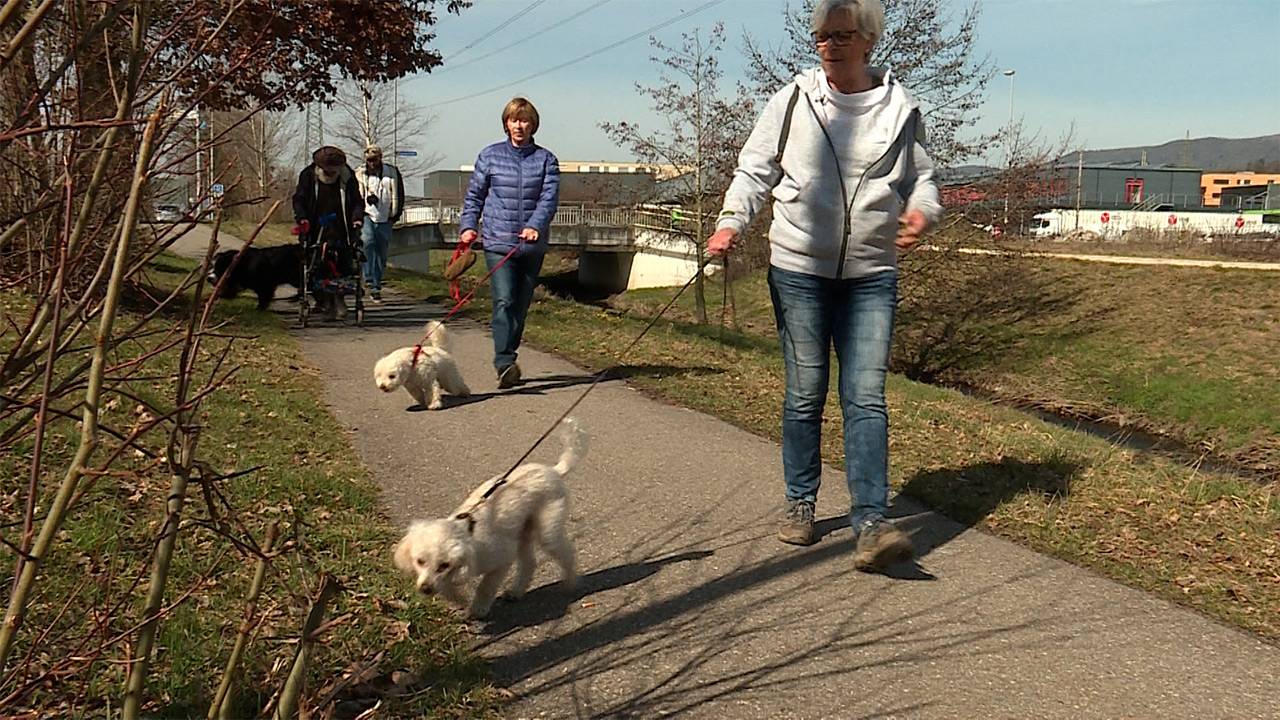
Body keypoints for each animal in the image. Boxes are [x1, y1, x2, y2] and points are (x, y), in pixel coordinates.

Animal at [391, 415, 586, 617]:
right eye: (420, 561)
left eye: (443, 565)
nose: (425, 589)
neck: (469, 535)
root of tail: (554, 471)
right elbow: (449, 589)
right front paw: (460, 600)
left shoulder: (501, 559)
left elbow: (485, 586)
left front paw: (478, 608)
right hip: (522, 532)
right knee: (529, 563)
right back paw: (516, 592)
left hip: (547, 530)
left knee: (566, 554)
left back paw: (570, 583)